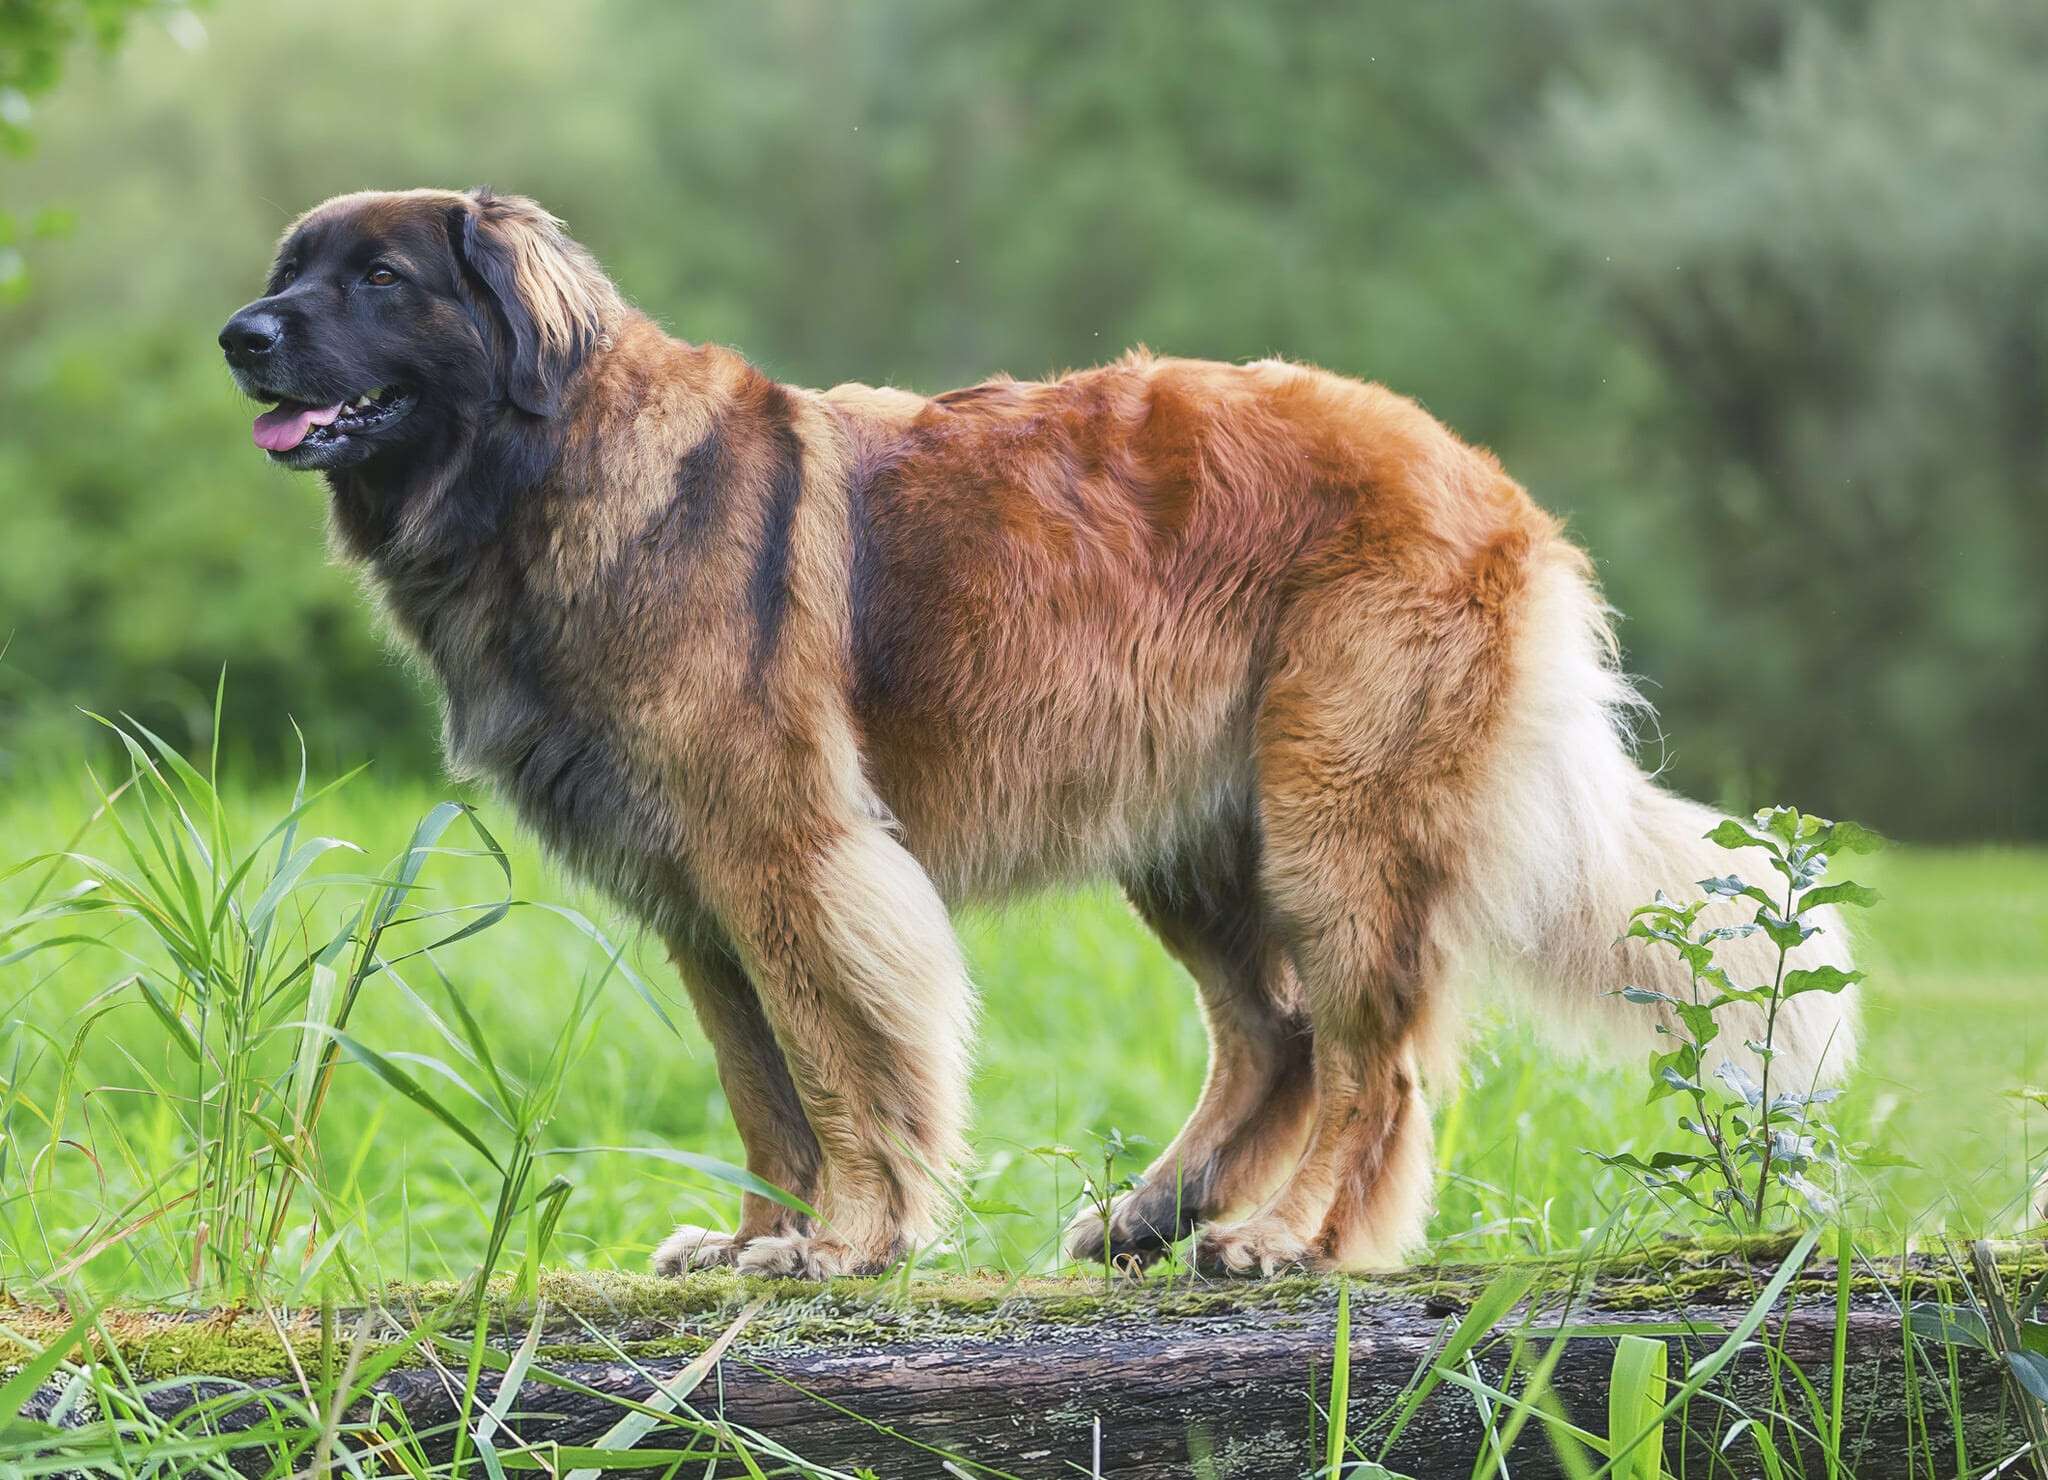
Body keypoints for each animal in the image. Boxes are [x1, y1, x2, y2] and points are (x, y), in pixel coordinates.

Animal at [224, 182, 1859, 1277]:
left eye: (378, 278)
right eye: (286, 271)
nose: (241, 335)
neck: (543, 472)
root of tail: (1486, 476)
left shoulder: (790, 859)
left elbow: (837, 1067)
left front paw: (845, 1242)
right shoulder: (699, 901)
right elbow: (758, 1091)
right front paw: (753, 1240)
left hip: (1333, 818)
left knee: (1367, 1060)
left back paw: (1278, 1238)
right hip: (1195, 836)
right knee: (1272, 1035)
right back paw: (1156, 1211)